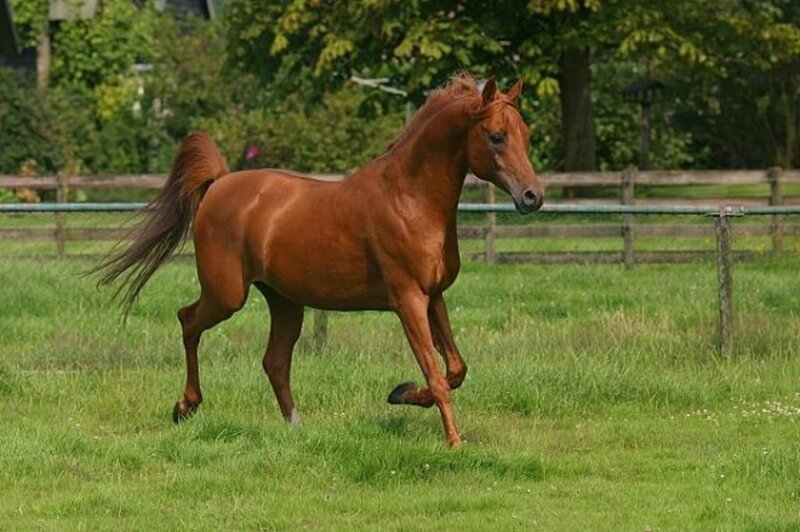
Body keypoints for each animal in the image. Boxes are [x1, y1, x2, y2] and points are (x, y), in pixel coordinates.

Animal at [94, 75, 544, 447]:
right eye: (496, 136)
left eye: (525, 134)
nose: (533, 196)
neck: (410, 198)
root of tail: (220, 182)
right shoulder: (408, 300)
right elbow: (437, 376)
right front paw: (454, 442)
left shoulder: (434, 297)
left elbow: (456, 368)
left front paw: (399, 393)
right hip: (227, 296)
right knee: (188, 321)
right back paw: (186, 406)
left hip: (284, 302)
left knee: (274, 361)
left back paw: (296, 427)